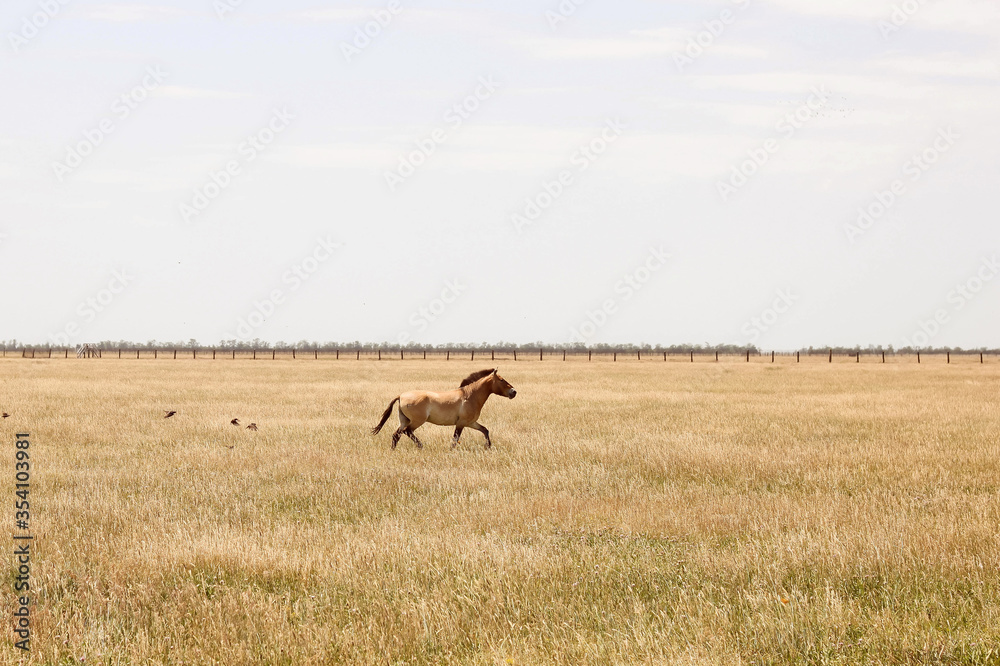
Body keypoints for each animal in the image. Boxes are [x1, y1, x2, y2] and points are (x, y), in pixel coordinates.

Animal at [371, 369, 516, 449]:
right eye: (502, 380)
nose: (514, 392)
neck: (469, 396)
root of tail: (401, 396)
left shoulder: (471, 423)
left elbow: (485, 430)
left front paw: (488, 447)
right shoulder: (461, 423)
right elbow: (455, 439)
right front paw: (451, 450)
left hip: (404, 420)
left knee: (396, 435)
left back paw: (393, 450)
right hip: (416, 422)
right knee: (408, 431)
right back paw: (421, 446)